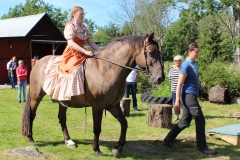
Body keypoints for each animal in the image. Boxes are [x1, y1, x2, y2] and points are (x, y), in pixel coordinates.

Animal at [21, 32, 164, 158]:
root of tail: (38, 62)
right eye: (150, 53)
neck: (106, 68)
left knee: (62, 118)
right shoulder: (97, 106)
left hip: (63, 101)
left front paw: (117, 149)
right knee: (32, 115)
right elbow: (97, 128)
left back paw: (69, 141)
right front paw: (97, 150)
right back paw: (30, 138)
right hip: (36, 97)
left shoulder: (113, 106)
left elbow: (124, 123)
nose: (160, 78)